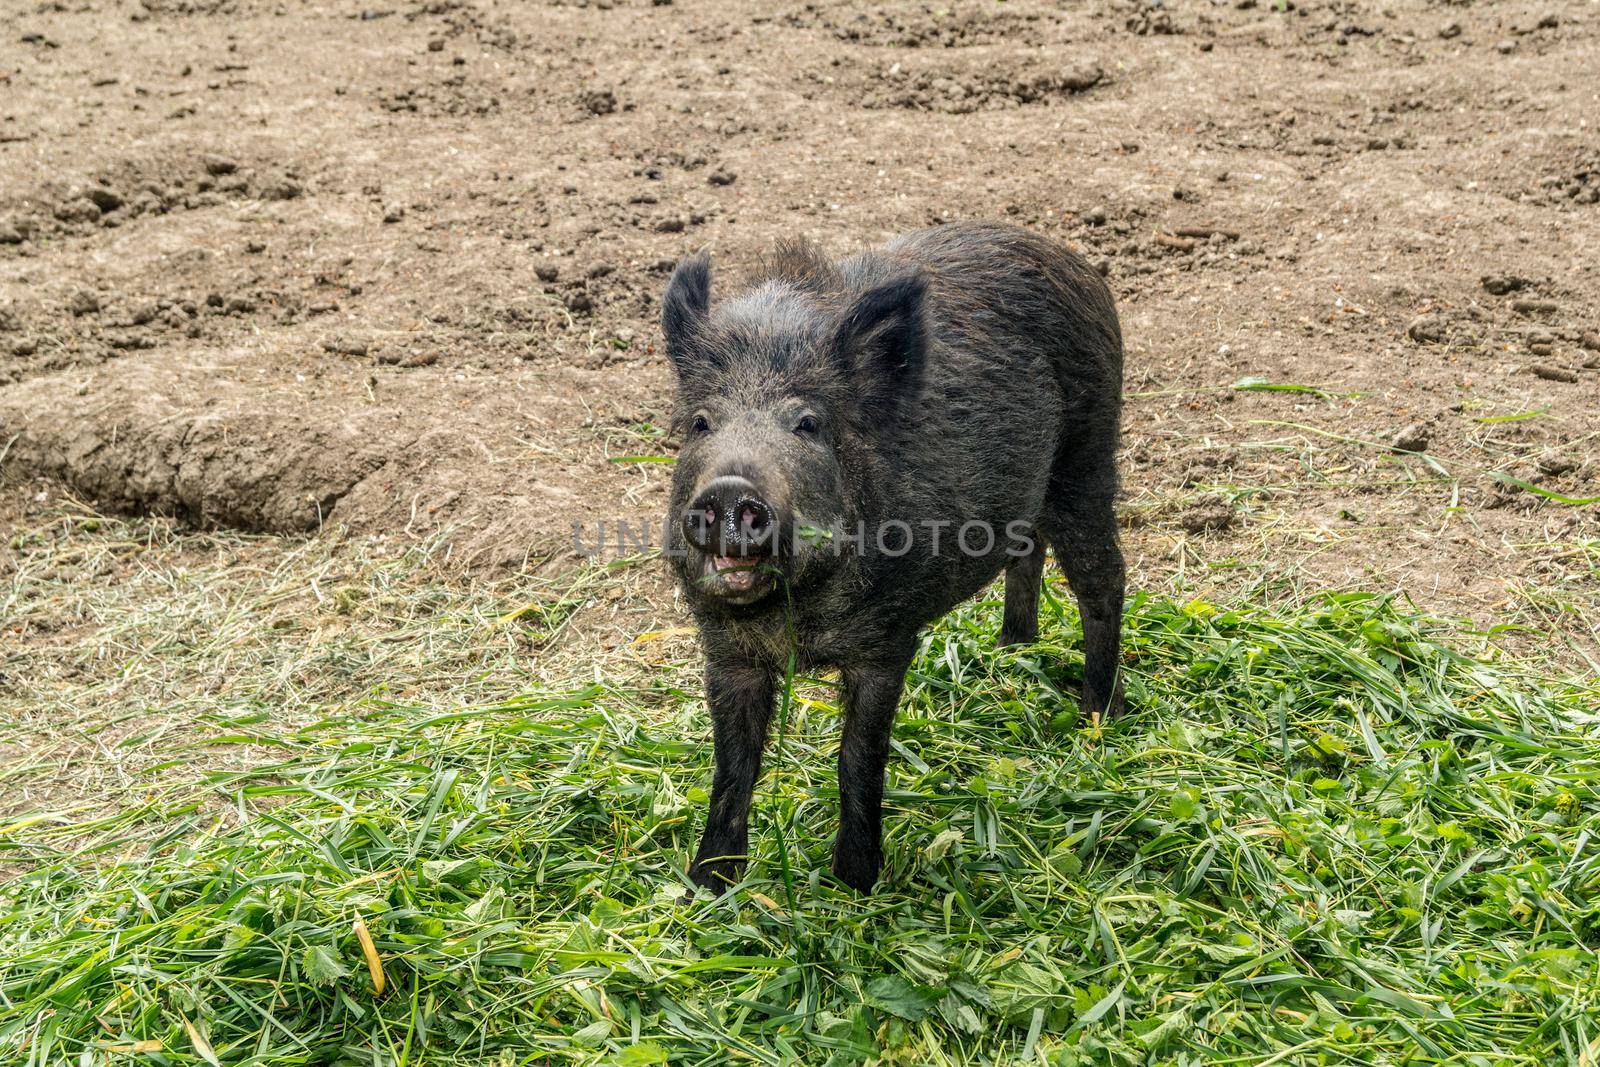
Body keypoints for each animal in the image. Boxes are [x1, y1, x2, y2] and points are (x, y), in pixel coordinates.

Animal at [662, 220, 1126, 895]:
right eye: (701, 422)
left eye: (808, 423)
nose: (728, 489)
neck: (795, 618)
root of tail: (1075, 262)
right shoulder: (726, 650)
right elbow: (732, 764)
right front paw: (709, 885)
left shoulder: (886, 642)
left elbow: (858, 758)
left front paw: (855, 882)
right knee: (1028, 547)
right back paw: (1011, 648)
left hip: (1088, 456)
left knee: (1105, 581)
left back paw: (1098, 718)